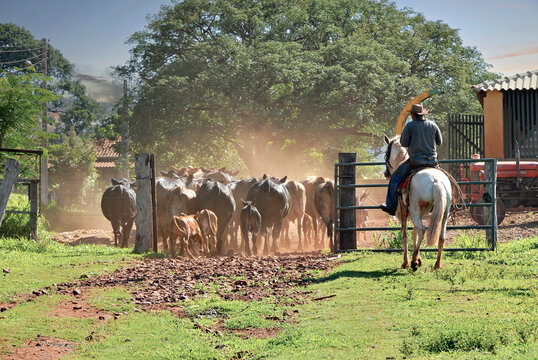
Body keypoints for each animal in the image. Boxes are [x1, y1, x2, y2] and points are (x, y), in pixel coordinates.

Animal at [384, 136, 450, 270]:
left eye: (386, 153)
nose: (385, 173)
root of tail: (437, 180)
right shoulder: (420, 214)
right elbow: (414, 234)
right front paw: (418, 257)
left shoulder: (403, 213)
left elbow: (405, 235)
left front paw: (406, 262)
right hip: (444, 212)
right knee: (441, 237)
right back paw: (436, 264)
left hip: (414, 212)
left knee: (423, 230)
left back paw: (414, 261)